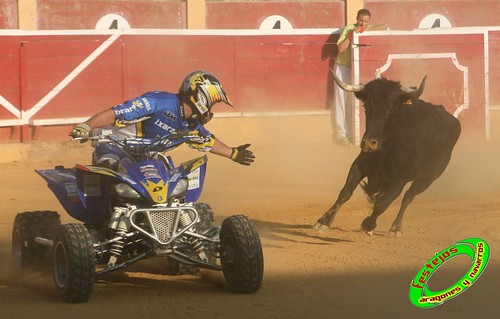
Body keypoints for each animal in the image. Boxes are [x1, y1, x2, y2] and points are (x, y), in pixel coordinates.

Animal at [314, 73, 462, 238]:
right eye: (366, 107)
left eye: (390, 109)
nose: (368, 143)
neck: (386, 149)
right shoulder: (359, 165)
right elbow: (345, 192)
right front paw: (324, 221)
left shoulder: (399, 181)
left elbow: (382, 205)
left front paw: (368, 224)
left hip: (428, 179)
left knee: (408, 197)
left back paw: (395, 228)